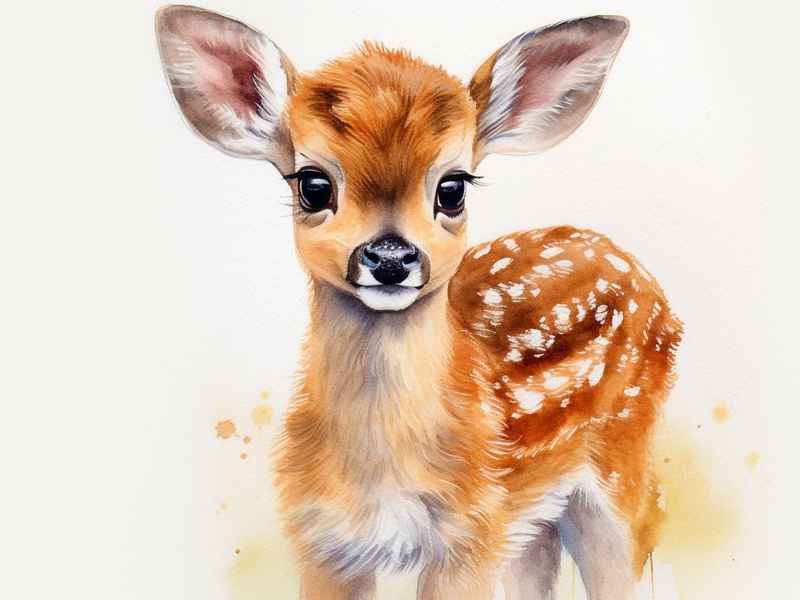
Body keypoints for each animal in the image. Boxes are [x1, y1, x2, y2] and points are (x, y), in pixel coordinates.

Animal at [156, 5, 682, 599]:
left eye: (453, 188)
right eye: (313, 184)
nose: (390, 256)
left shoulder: (470, 530)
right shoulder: (322, 538)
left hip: (621, 456)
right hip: (531, 513)